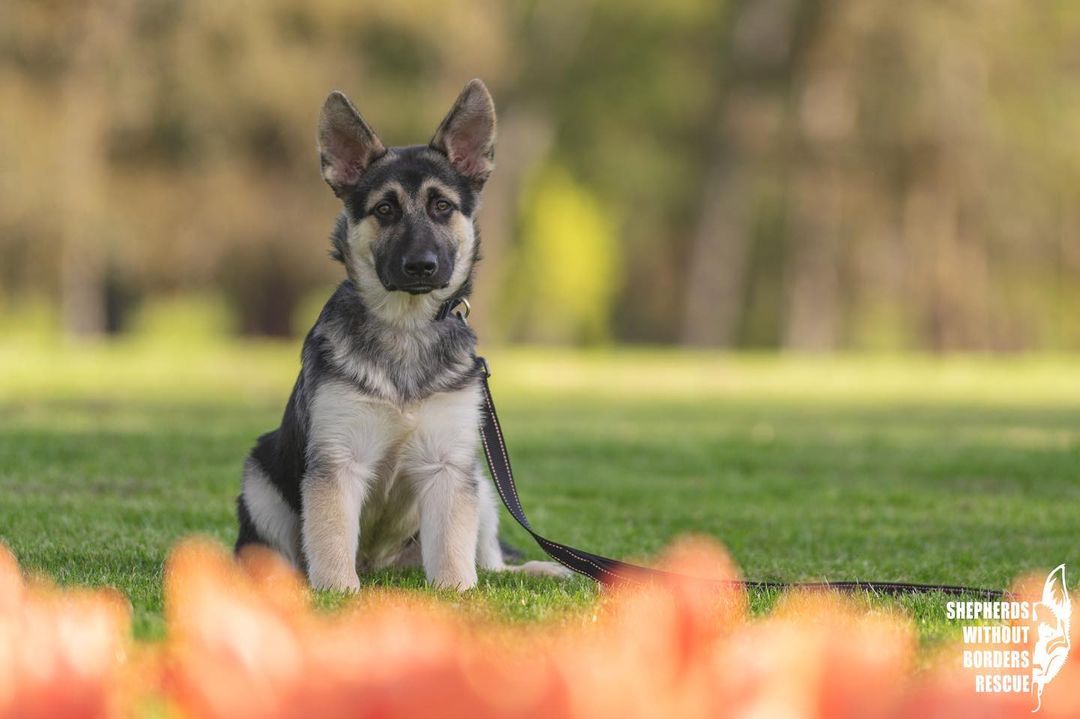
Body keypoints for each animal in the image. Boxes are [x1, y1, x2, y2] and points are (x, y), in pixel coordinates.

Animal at [232, 80, 570, 591]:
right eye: (385, 209)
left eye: (442, 207)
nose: (421, 267)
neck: (406, 327)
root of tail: (382, 567)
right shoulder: (338, 463)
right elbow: (331, 541)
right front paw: (338, 593)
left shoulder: (449, 467)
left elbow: (453, 553)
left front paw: (457, 594)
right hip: (260, 481)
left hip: (482, 484)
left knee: (491, 560)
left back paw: (539, 569)